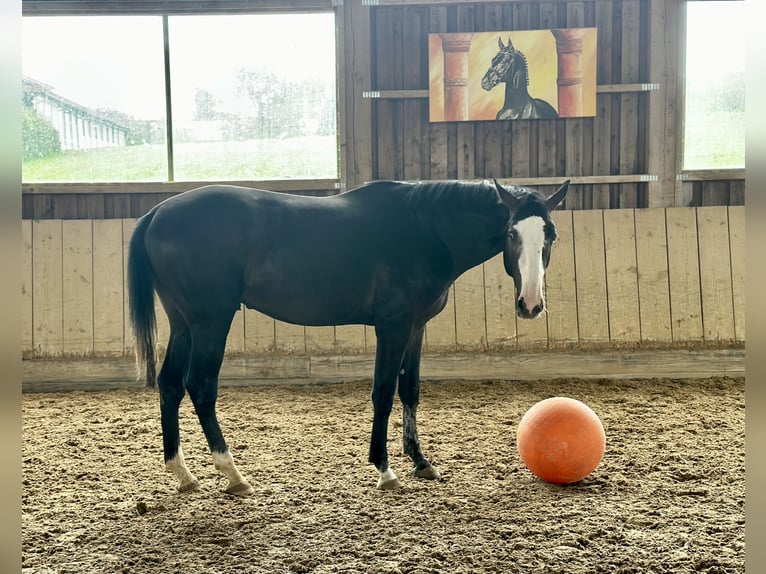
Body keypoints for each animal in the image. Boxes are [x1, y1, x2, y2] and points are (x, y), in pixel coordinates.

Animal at [127, 179, 568, 496]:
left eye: (550, 235)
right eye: (511, 234)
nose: (531, 303)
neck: (424, 229)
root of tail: (157, 212)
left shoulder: (416, 327)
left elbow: (410, 390)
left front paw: (421, 461)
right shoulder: (393, 326)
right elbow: (383, 392)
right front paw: (385, 470)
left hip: (183, 323)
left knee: (170, 384)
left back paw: (183, 474)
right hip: (210, 322)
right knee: (200, 387)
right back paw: (233, 475)